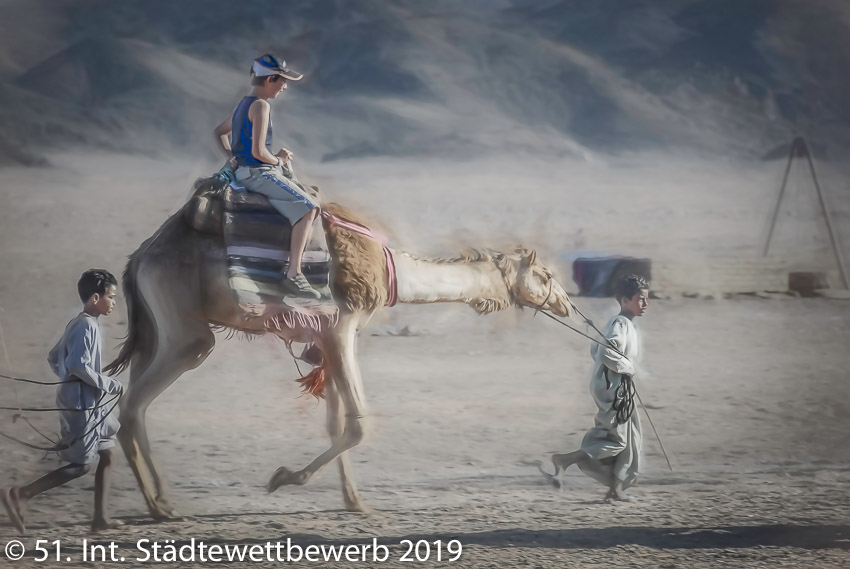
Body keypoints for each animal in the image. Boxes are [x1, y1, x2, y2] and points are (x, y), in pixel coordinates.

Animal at [104, 196, 568, 520]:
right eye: (545, 275)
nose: (565, 303)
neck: (390, 271)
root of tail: (139, 258)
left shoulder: (327, 339)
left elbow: (336, 421)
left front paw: (354, 501)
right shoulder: (341, 328)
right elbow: (359, 423)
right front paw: (284, 478)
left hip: (157, 329)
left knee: (131, 400)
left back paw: (154, 501)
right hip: (185, 329)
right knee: (137, 401)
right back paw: (160, 506)